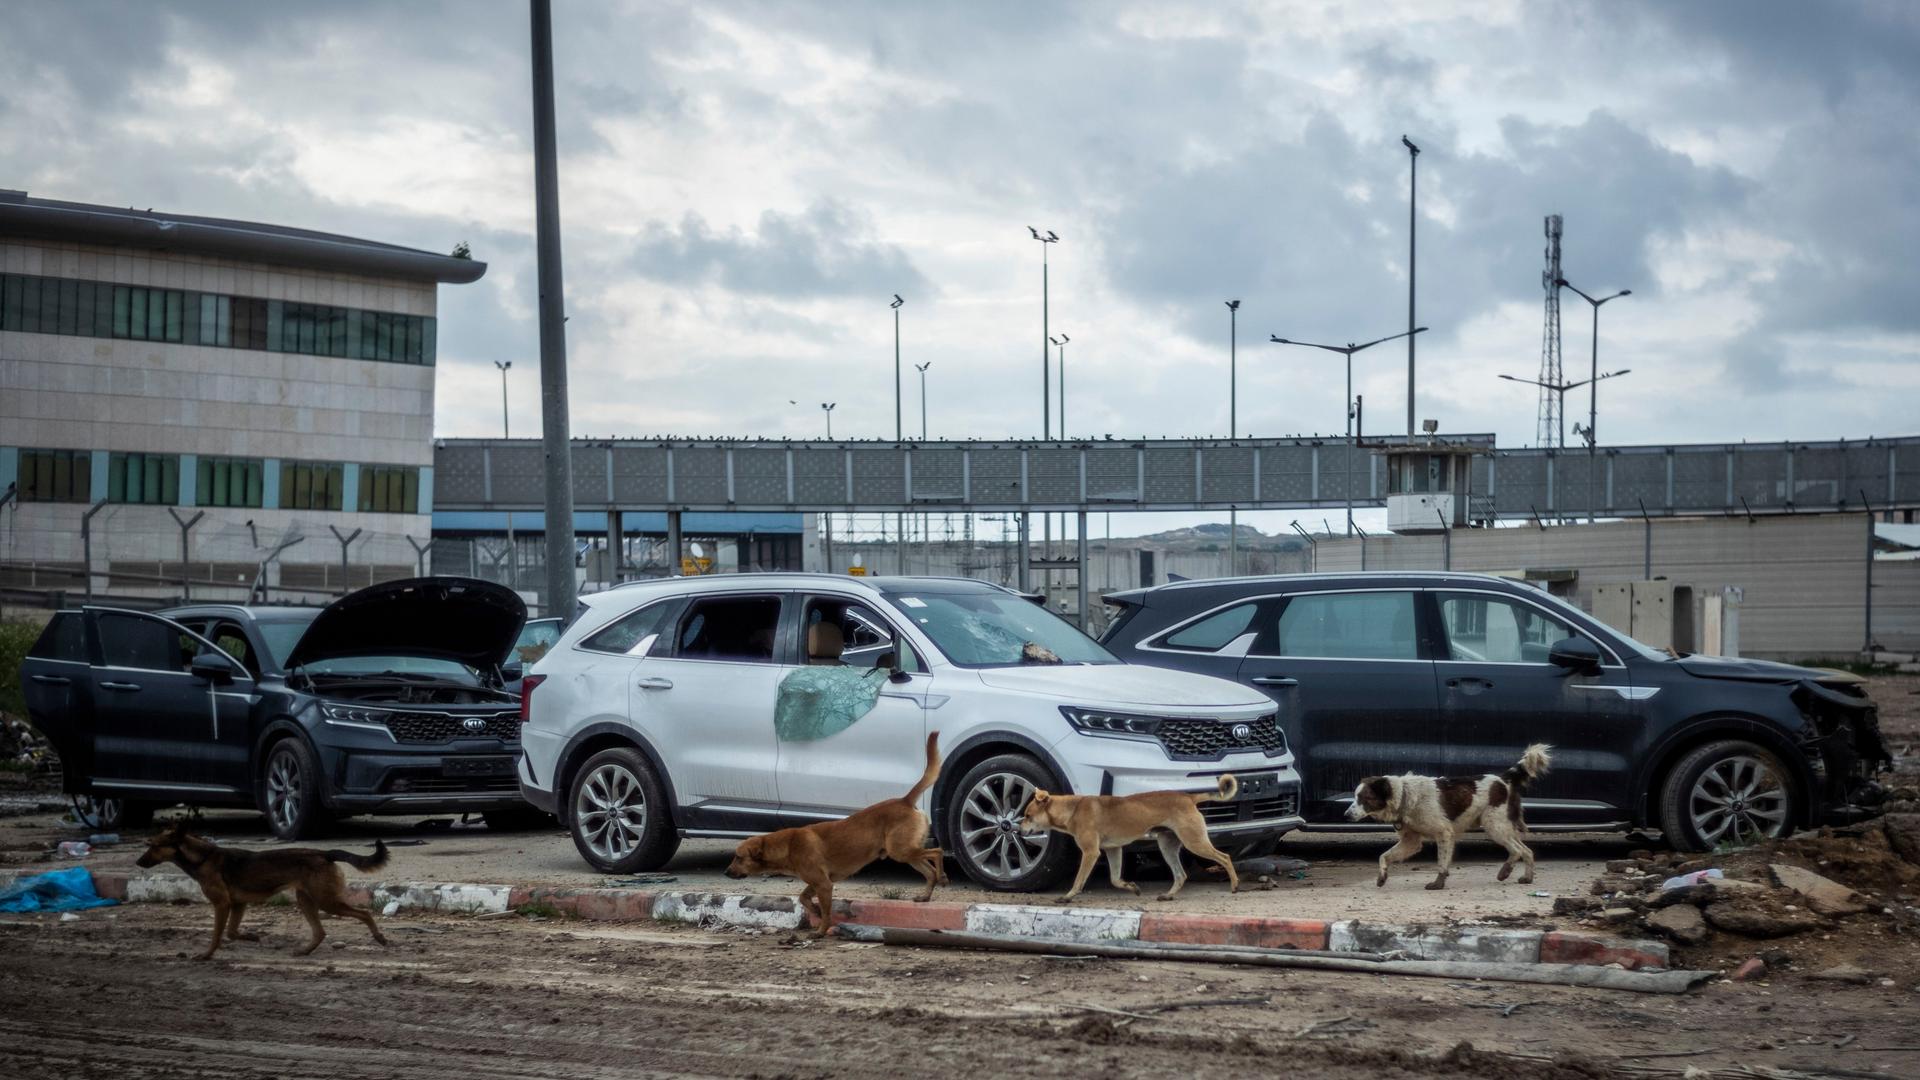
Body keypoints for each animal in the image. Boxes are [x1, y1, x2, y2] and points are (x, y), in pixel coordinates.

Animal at [136, 814, 393, 957]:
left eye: (153, 845)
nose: (138, 862)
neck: (202, 857)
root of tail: (324, 853)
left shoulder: (222, 904)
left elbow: (217, 934)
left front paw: (206, 955)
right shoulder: (238, 905)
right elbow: (231, 932)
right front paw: (252, 937)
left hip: (326, 901)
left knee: (364, 914)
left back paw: (380, 937)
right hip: (306, 899)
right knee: (320, 932)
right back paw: (304, 951)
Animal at [725, 730, 944, 933]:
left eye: (738, 857)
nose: (726, 872)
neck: (788, 845)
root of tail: (904, 800)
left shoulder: (824, 885)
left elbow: (826, 913)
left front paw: (821, 931)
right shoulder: (817, 883)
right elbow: (803, 898)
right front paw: (814, 910)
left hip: (900, 851)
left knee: (937, 852)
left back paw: (943, 876)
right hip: (906, 853)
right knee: (929, 871)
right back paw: (926, 895)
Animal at [1021, 772, 1244, 899]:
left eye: (1028, 815)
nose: (1016, 828)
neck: (1073, 809)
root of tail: (1189, 797)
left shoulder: (1091, 853)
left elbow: (1079, 880)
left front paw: (1068, 896)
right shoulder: (1113, 850)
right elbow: (1115, 879)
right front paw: (1131, 887)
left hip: (1194, 842)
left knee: (1224, 857)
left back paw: (1234, 885)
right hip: (1168, 846)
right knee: (1181, 875)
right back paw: (1168, 895)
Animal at [1344, 745, 1551, 887]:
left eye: (1365, 798)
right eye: (1355, 797)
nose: (1345, 815)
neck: (1405, 795)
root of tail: (1502, 778)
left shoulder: (1443, 833)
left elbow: (1442, 862)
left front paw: (1438, 883)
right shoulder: (1411, 842)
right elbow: (1383, 856)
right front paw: (1382, 876)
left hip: (1494, 826)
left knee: (1516, 850)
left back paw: (1505, 871)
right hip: (1503, 827)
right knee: (1527, 851)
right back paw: (1527, 877)